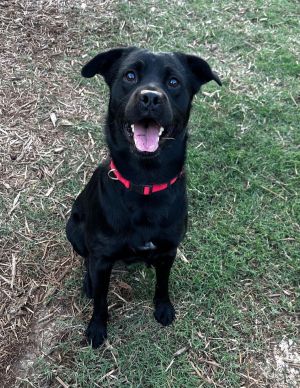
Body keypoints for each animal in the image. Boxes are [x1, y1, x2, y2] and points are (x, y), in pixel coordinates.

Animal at [67, 47, 221, 348]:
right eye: (130, 75)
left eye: (173, 82)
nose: (150, 97)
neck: (145, 181)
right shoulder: (102, 258)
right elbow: (101, 299)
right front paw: (97, 327)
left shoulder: (169, 250)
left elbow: (163, 283)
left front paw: (163, 308)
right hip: (74, 229)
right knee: (85, 259)